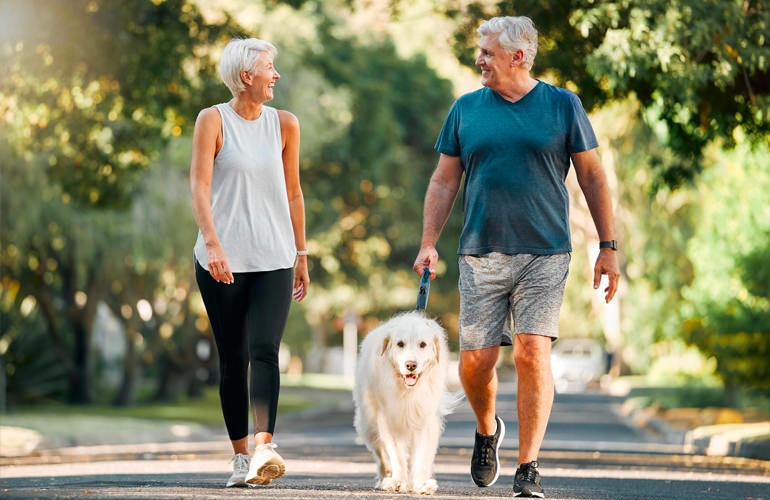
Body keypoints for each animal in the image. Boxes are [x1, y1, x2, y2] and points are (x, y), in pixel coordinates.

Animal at [352, 310, 456, 494]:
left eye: (423, 344)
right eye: (400, 344)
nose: (411, 365)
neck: (408, 391)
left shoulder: (425, 420)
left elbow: (421, 457)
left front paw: (421, 484)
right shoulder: (389, 420)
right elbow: (397, 456)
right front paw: (397, 482)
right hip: (368, 423)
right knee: (381, 454)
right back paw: (385, 478)